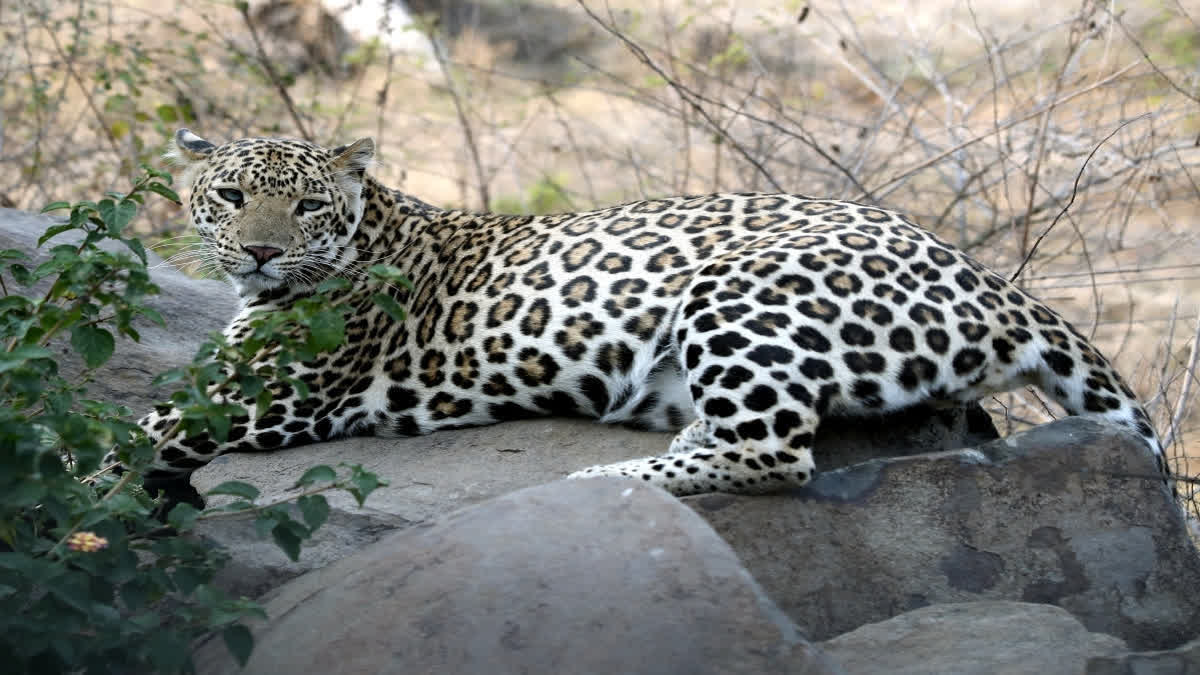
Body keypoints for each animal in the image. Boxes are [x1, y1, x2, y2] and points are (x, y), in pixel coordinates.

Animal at [134, 128, 1171, 498]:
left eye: (306, 206)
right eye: (231, 197)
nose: (261, 251)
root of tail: (988, 274)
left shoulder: (263, 396)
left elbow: (126, 438)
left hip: (739, 294)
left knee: (772, 455)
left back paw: (598, 479)